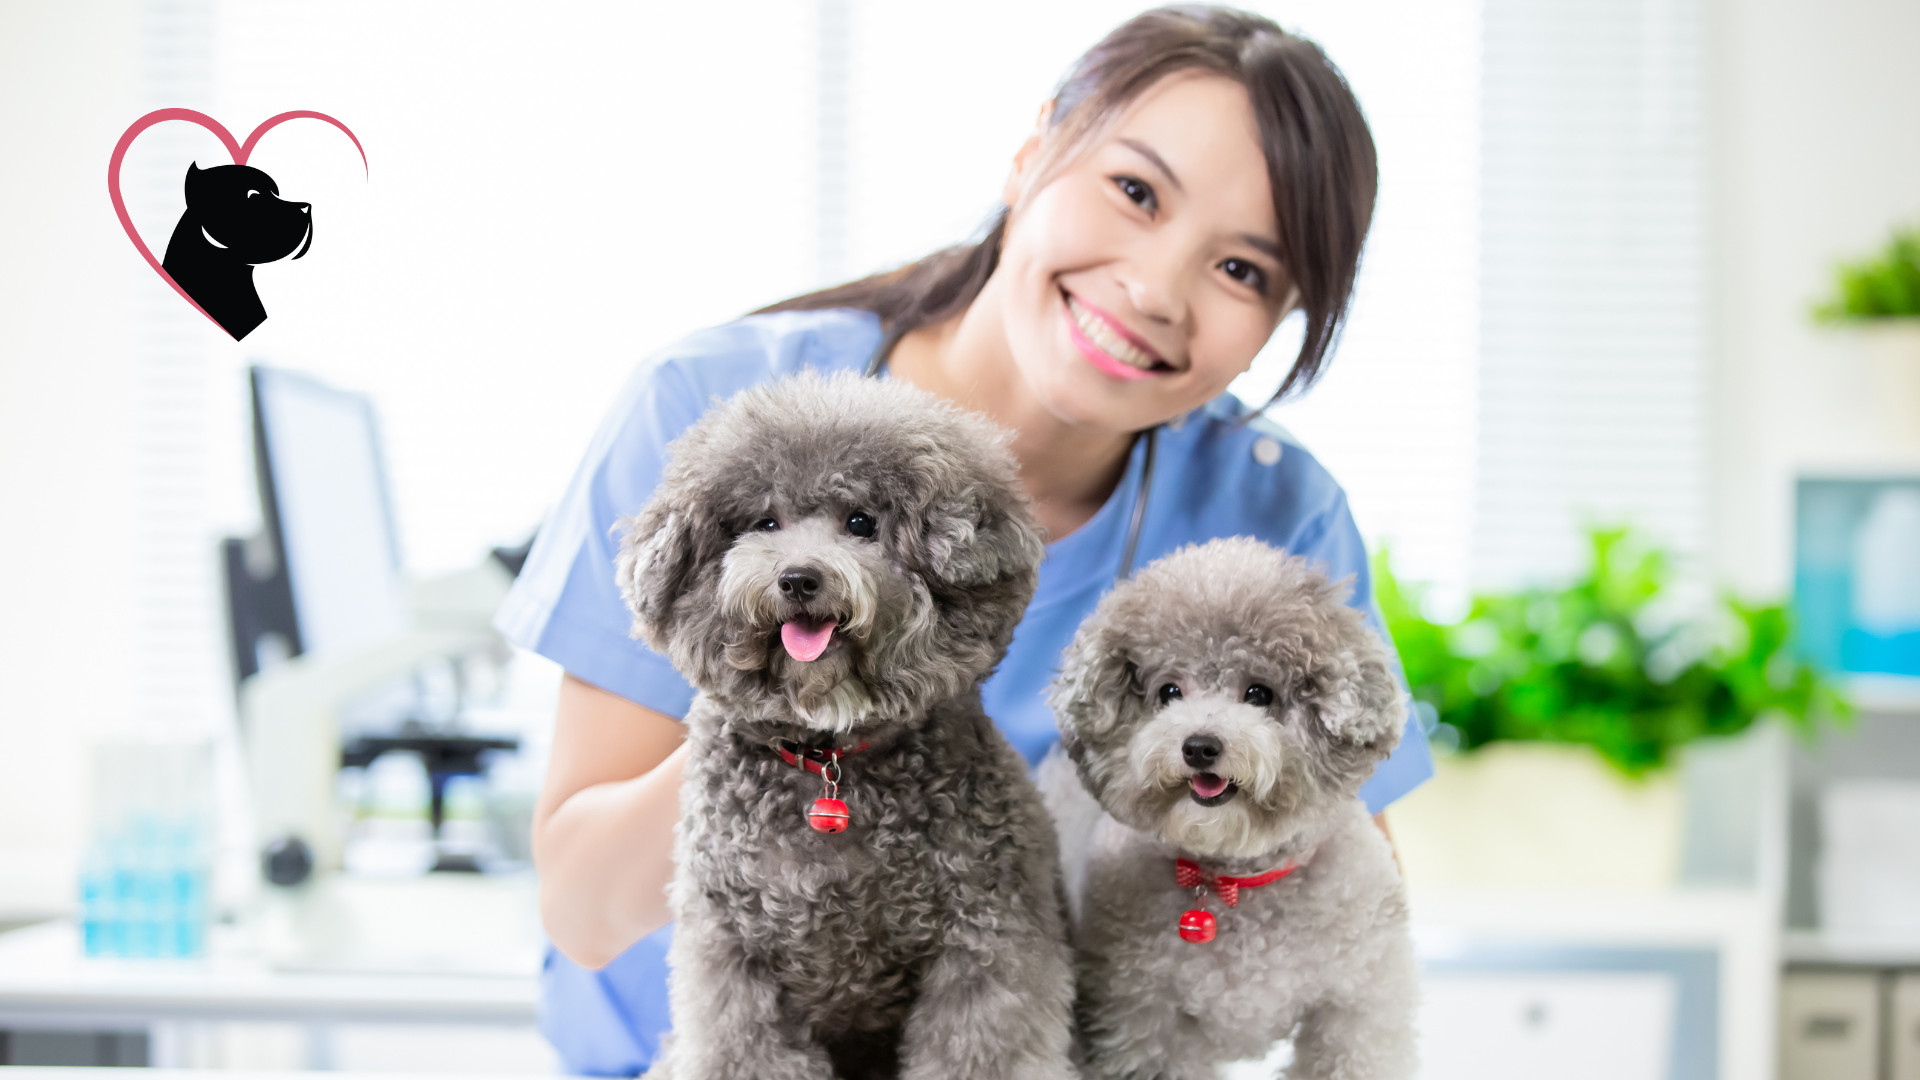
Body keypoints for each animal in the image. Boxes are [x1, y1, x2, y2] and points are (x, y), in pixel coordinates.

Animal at [625, 372, 1090, 1076]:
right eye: (764, 522)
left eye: (861, 523)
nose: (799, 578)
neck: (829, 756)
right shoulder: (732, 957)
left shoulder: (987, 940)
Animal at [1059, 538, 1420, 1076]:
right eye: (1169, 691)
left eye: (1258, 693)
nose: (1199, 746)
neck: (1233, 882)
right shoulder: (1144, 1019)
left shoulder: (1357, 1003)